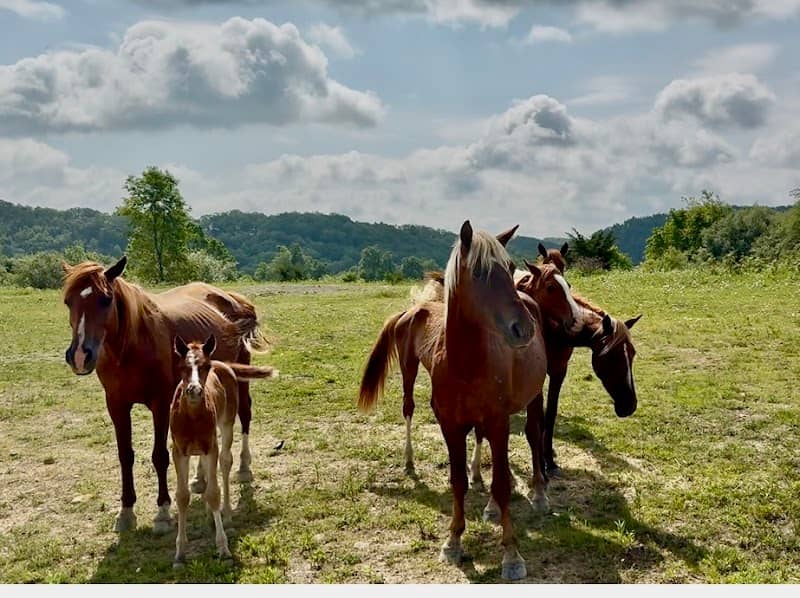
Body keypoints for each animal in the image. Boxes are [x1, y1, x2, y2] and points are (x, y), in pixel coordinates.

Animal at [61, 256, 268, 534]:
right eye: (68, 301)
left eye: (105, 299)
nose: (80, 356)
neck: (133, 345)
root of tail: (233, 298)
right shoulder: (116, 405)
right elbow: (125, 455)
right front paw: (126, 511)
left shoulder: (160, 404)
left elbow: (159, 456)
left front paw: (163, 512)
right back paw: (199, 477)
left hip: (240, 377)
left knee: (245, 413)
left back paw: (244, 467)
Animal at [170, 335, 277, 567]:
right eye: (182, 367)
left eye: (205, 367)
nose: (194, 390)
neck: (191, 417)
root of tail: (223, 364)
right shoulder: (179, 451)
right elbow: (182, 496)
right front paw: (180, 553)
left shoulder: (211, 446)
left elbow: (214, 492)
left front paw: (223, 547)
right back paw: (209, 514)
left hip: (226, 425)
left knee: (226, 462)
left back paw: (226, 514)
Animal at [359, 221, 548, 581]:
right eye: (478, 271)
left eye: (510, 269)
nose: (523, 328)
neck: (465, 362)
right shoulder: (450, 424)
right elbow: (458, 481)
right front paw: (453, 540)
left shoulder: (499, 421)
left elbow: (502, 483)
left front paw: (511, 554)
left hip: (535, 397)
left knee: (534, 435)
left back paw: (539, 493)